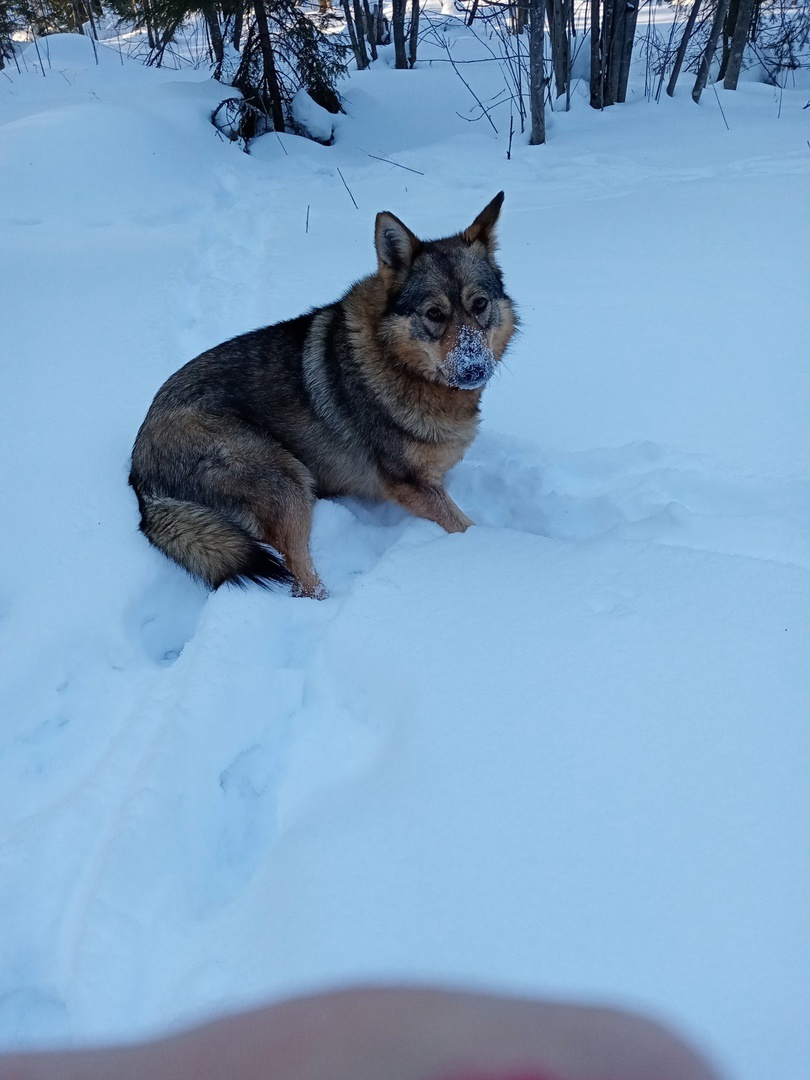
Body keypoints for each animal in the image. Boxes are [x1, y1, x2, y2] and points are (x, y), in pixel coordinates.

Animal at [130, 195, 516, 600]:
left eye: (479, 304)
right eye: (434, 314)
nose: (474, 368)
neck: (399, 364)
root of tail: (139, 471)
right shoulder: (412, 484)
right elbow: (467, 526)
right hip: (288, 480)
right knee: (300, 577)